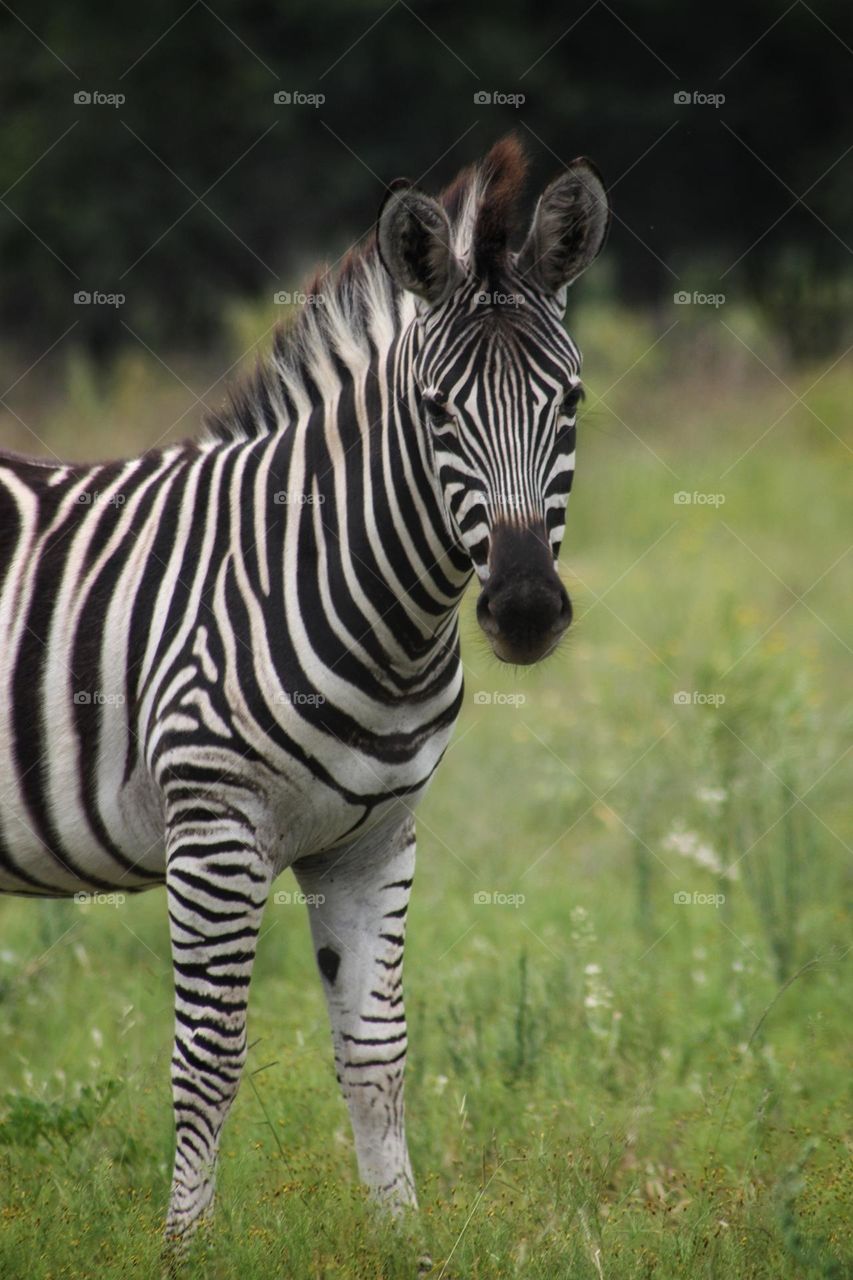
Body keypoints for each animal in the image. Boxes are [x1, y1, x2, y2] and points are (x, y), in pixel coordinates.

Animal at [0, 135, 609, 1251]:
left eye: (572, 402)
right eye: (436, 412)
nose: (524, 609)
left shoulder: (373, 841)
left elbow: (376, 1054)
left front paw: (404, 1245)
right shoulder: (215, 828)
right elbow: (207, 1061)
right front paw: (182, 1253)